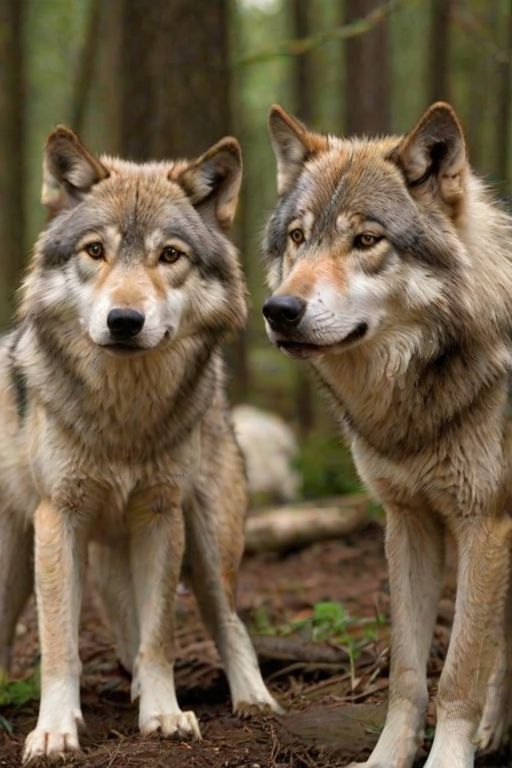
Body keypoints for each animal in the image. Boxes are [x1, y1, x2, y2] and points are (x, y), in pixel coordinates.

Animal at [0, 127, 280, 763]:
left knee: (228, 620)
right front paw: (54, 730)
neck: (123, 420)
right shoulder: (60, 519)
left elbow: (161, 636)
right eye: (95, 251)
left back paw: (253, 700)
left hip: (208, 540)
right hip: (18, 554)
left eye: (170, 255)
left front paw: (165, 715)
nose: (124, 320)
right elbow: (60, 643)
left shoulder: (160, 515)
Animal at [261, 100, 512, 768]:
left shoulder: (486, 526)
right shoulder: (406, 522)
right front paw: (387, 758)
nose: (279, 311)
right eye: (298, 237)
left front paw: (449, 760)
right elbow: (406, 672)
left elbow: (458, 676)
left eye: (367, 240)